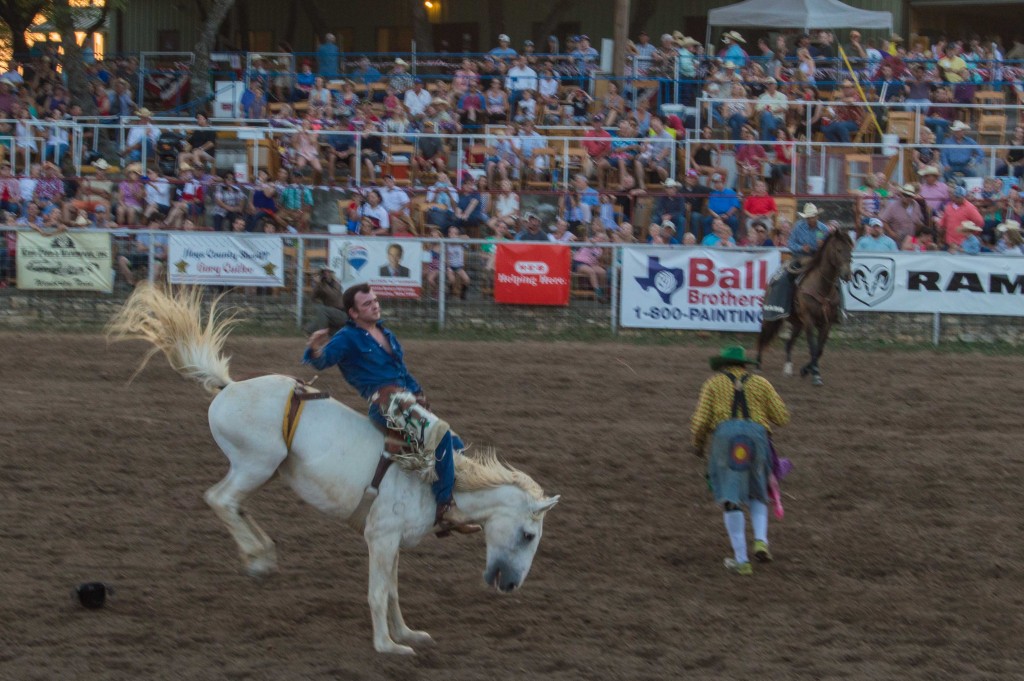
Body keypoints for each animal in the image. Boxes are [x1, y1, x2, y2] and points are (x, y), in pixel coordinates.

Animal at [108, 284, 561, 655]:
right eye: (528, 534)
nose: (511, 584)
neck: (435, 483)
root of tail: (228, 386)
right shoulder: (380, 536)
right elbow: (378, 593)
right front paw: (387, 647)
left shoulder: (392, 542)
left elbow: (392, 591)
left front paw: (408, 634)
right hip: (256, 464)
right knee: (219, 499)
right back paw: (258, 558)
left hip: (259, 470)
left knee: (233, 504)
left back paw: (262, 554)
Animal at [757, 229, 851, 385]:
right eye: (838, 249)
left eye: (850, 249)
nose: (847, 274)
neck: (822, 287)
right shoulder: (809, 320)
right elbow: (813, 347)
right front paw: (816, 376)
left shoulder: (826, 323)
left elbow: (819, 350)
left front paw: (806, 370)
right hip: (771, 318)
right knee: (762, 336)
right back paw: (758, 364)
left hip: (797, 324)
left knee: (788, 343)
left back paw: (788, 369)